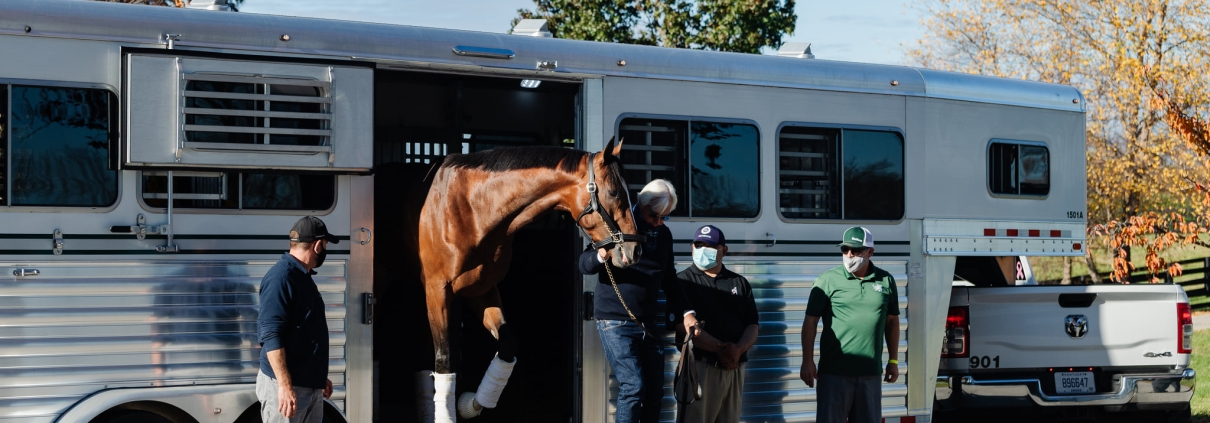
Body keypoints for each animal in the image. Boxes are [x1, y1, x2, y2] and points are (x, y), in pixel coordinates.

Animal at [416, 137, 643, 420]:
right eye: (614, 192)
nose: (635, 251)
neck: (467, 208)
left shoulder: (482, 288)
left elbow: (507, 345)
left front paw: (470, 404)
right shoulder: (437, 292)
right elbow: (444, 361)